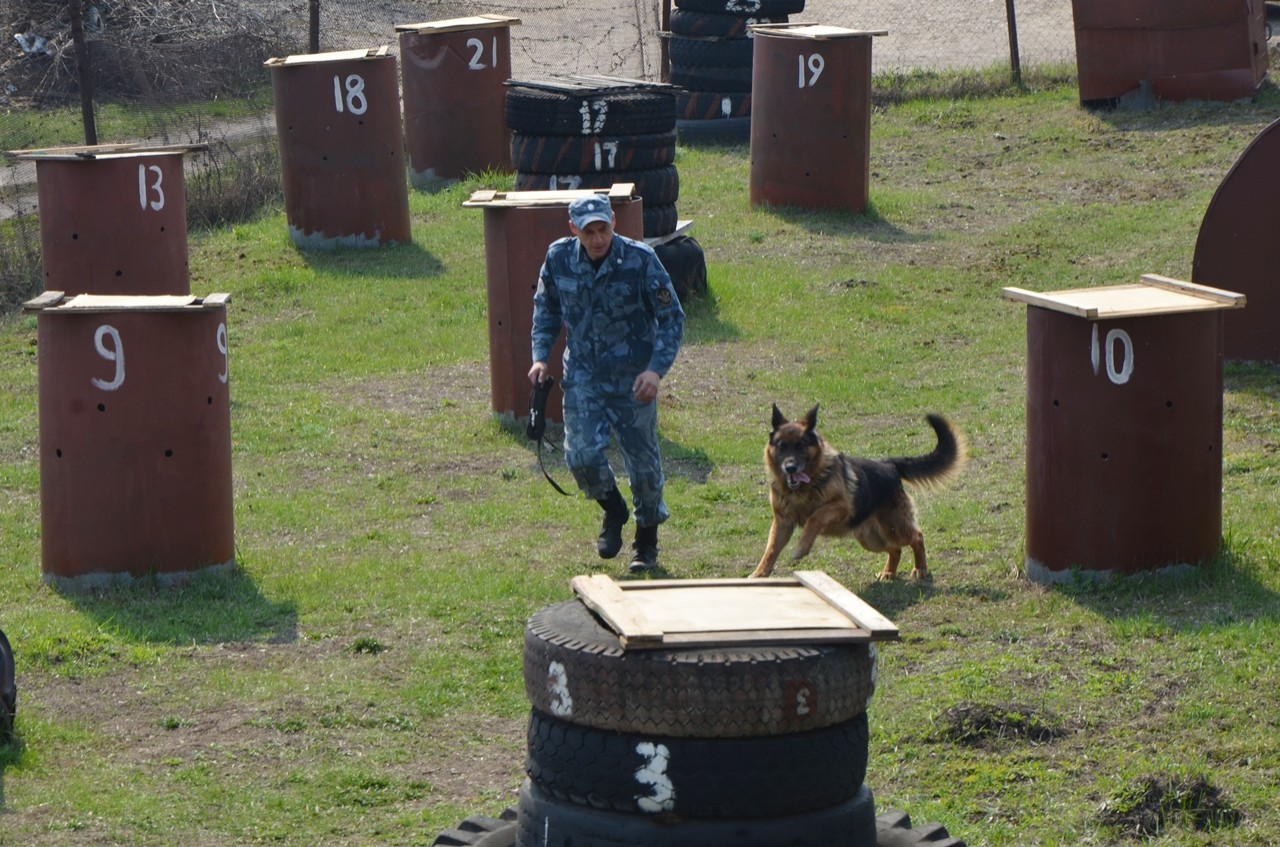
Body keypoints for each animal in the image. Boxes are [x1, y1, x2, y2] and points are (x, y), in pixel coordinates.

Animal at [747, 406, 962, 580]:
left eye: (801, 445)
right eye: (781, 446)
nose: (790, 467)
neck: (802, 490)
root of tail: (889, 465)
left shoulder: (840, 507)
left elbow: (815, 517)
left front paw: (801, 547)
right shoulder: (783, 522)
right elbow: (770, 549)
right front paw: (758, 574)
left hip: (893, 526)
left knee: (916, 537)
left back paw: (920, 568)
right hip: (870, 539)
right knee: (895, 549)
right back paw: (888, 572)